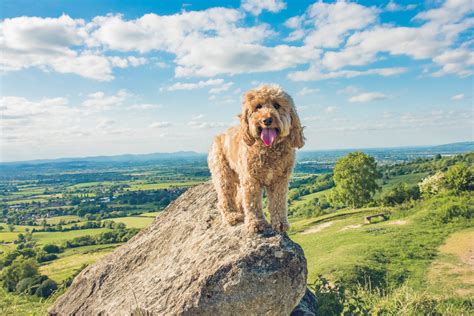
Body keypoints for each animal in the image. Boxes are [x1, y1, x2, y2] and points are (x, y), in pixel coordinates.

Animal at [209, 85, 306, 233]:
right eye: (258, 107)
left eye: (277, 105)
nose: (267, 120)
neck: (269, 148)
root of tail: (219, 136)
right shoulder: (251, 180)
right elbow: (252, 202)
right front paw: (257, 223)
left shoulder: (280, 180)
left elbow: (278, 202)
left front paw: (280, 223)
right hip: (223, 173)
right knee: (225, 197)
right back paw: (232, 216)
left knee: (238, 198)